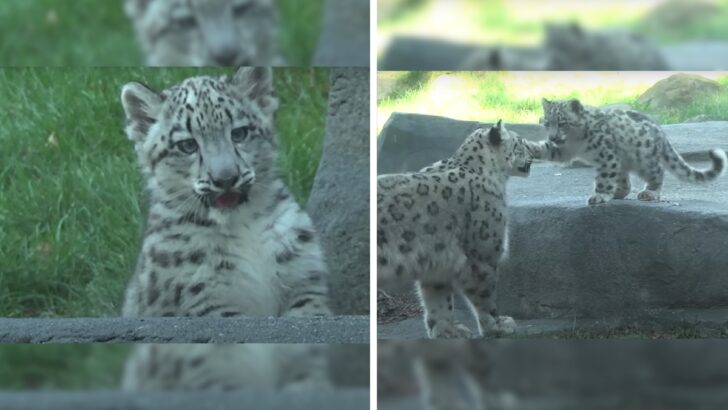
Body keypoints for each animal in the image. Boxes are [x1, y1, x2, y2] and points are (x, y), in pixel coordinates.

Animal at [119, 67, 330, 390]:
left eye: (239, 133)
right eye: (187, 145)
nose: (226, 178)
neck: (243, 225)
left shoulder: (303, 281)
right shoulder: (207, 304)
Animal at [377, 121, 538, 339]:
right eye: (520, 141)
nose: (534, 152)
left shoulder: (436, 262)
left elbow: (438, 300)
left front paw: (447, 331)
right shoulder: (482, 256)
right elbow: (485, 296)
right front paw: (497, 325)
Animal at [536, 98, 726, 205]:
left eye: (562, 122)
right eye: (547, 123)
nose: (553, 137)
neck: (575, 141)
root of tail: (660, 132)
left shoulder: (606, 155)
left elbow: (604, 178)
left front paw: (600, 195)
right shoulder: (565, 150)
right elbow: (550, 151)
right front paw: (531, 149)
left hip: (643, 159)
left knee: (657, 171)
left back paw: (649, 192)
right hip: (622, 161)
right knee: (624, 181)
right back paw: (618, 193)